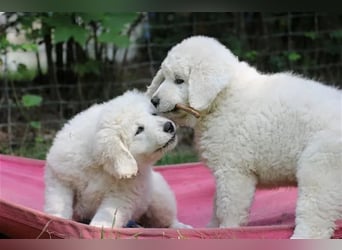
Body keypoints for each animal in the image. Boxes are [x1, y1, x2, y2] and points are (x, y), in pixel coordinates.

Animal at [43, 89, 190, 229]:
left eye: (153, 114)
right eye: (139, 130)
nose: (169, 126)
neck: (98, 164)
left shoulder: (121, 195)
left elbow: (107, 215)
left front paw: (98, 228)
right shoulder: (61, 179)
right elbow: (59, 203)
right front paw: (56, 220)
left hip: (160, 200)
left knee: (166, 221)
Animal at [148, 35, 342, 238]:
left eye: (179, 80)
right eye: (164, 77)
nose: (154, 100)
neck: (222, 98)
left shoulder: (233, 171)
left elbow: (228, 207)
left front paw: (226, 230)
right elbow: (217, 204)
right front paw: (210, 228)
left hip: (321, 165)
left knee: (315, 212)